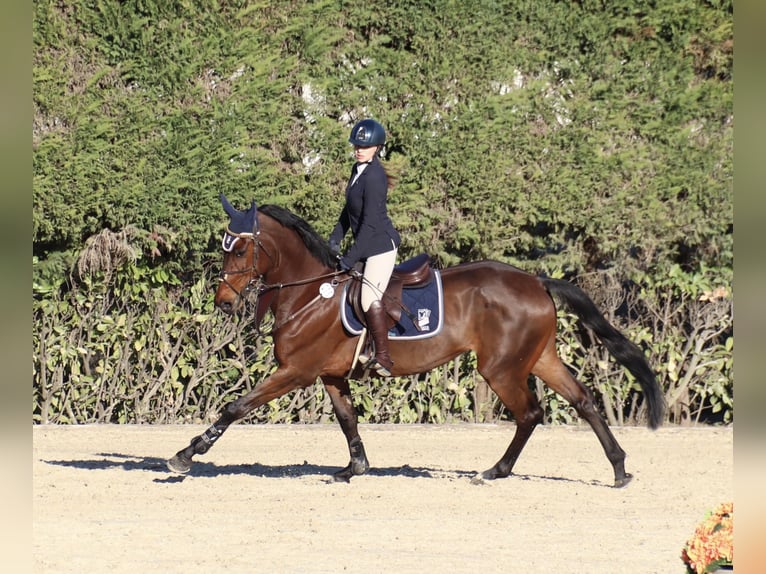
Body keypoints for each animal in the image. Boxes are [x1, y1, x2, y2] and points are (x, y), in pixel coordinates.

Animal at [167, 195, 665, 487]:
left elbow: (237, 407)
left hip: (501, 368)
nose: (223, 302)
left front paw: (185, 455)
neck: (310, 291)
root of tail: (537, 281)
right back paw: (619, 469)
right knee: (582, 400)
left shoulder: (295, 372)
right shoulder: (330, 375)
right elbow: (347, 420)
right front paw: (354, 468)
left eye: (239, 248)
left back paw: (496, 471)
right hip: (539, 357)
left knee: (530, 413)